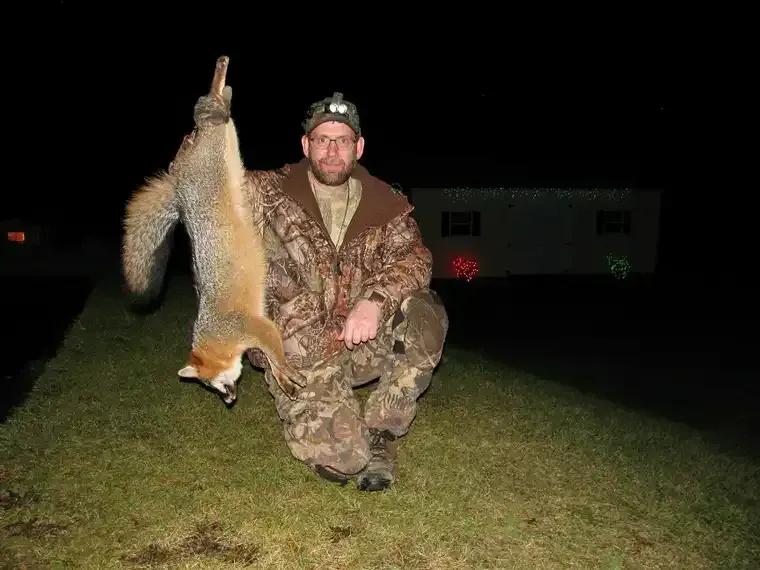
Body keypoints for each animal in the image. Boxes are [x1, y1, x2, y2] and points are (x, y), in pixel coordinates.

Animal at [121, 55, 305, 404]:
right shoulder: (262, 329)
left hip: (215, 134)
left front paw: (289, 372)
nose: (228, 401)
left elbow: (277, 358)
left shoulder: (261, 327)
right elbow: (272, 363)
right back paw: (224, 87)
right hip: (226, 136)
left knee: (209, 104)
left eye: (212, 384)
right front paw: (285, 381)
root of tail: (178, 184)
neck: (219, 333)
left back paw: (218, 76)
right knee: (221, 105)